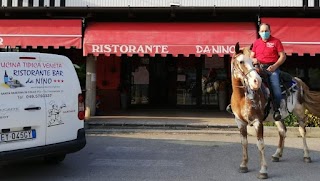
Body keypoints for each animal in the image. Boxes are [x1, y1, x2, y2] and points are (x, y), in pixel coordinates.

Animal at [230, 42, 320, 180]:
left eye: (253, 62)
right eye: (241, 61)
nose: (256, 81)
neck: (241, 97)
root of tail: (298, 80)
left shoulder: (257, 122)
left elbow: (260, 144)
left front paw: (263, 171)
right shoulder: (240, 122)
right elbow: (244, 143)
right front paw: (243, 165)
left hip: (299, 112)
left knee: (302, 131)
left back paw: (306, 155)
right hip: (277, 116)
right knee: (282, 131)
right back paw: (277, 154)